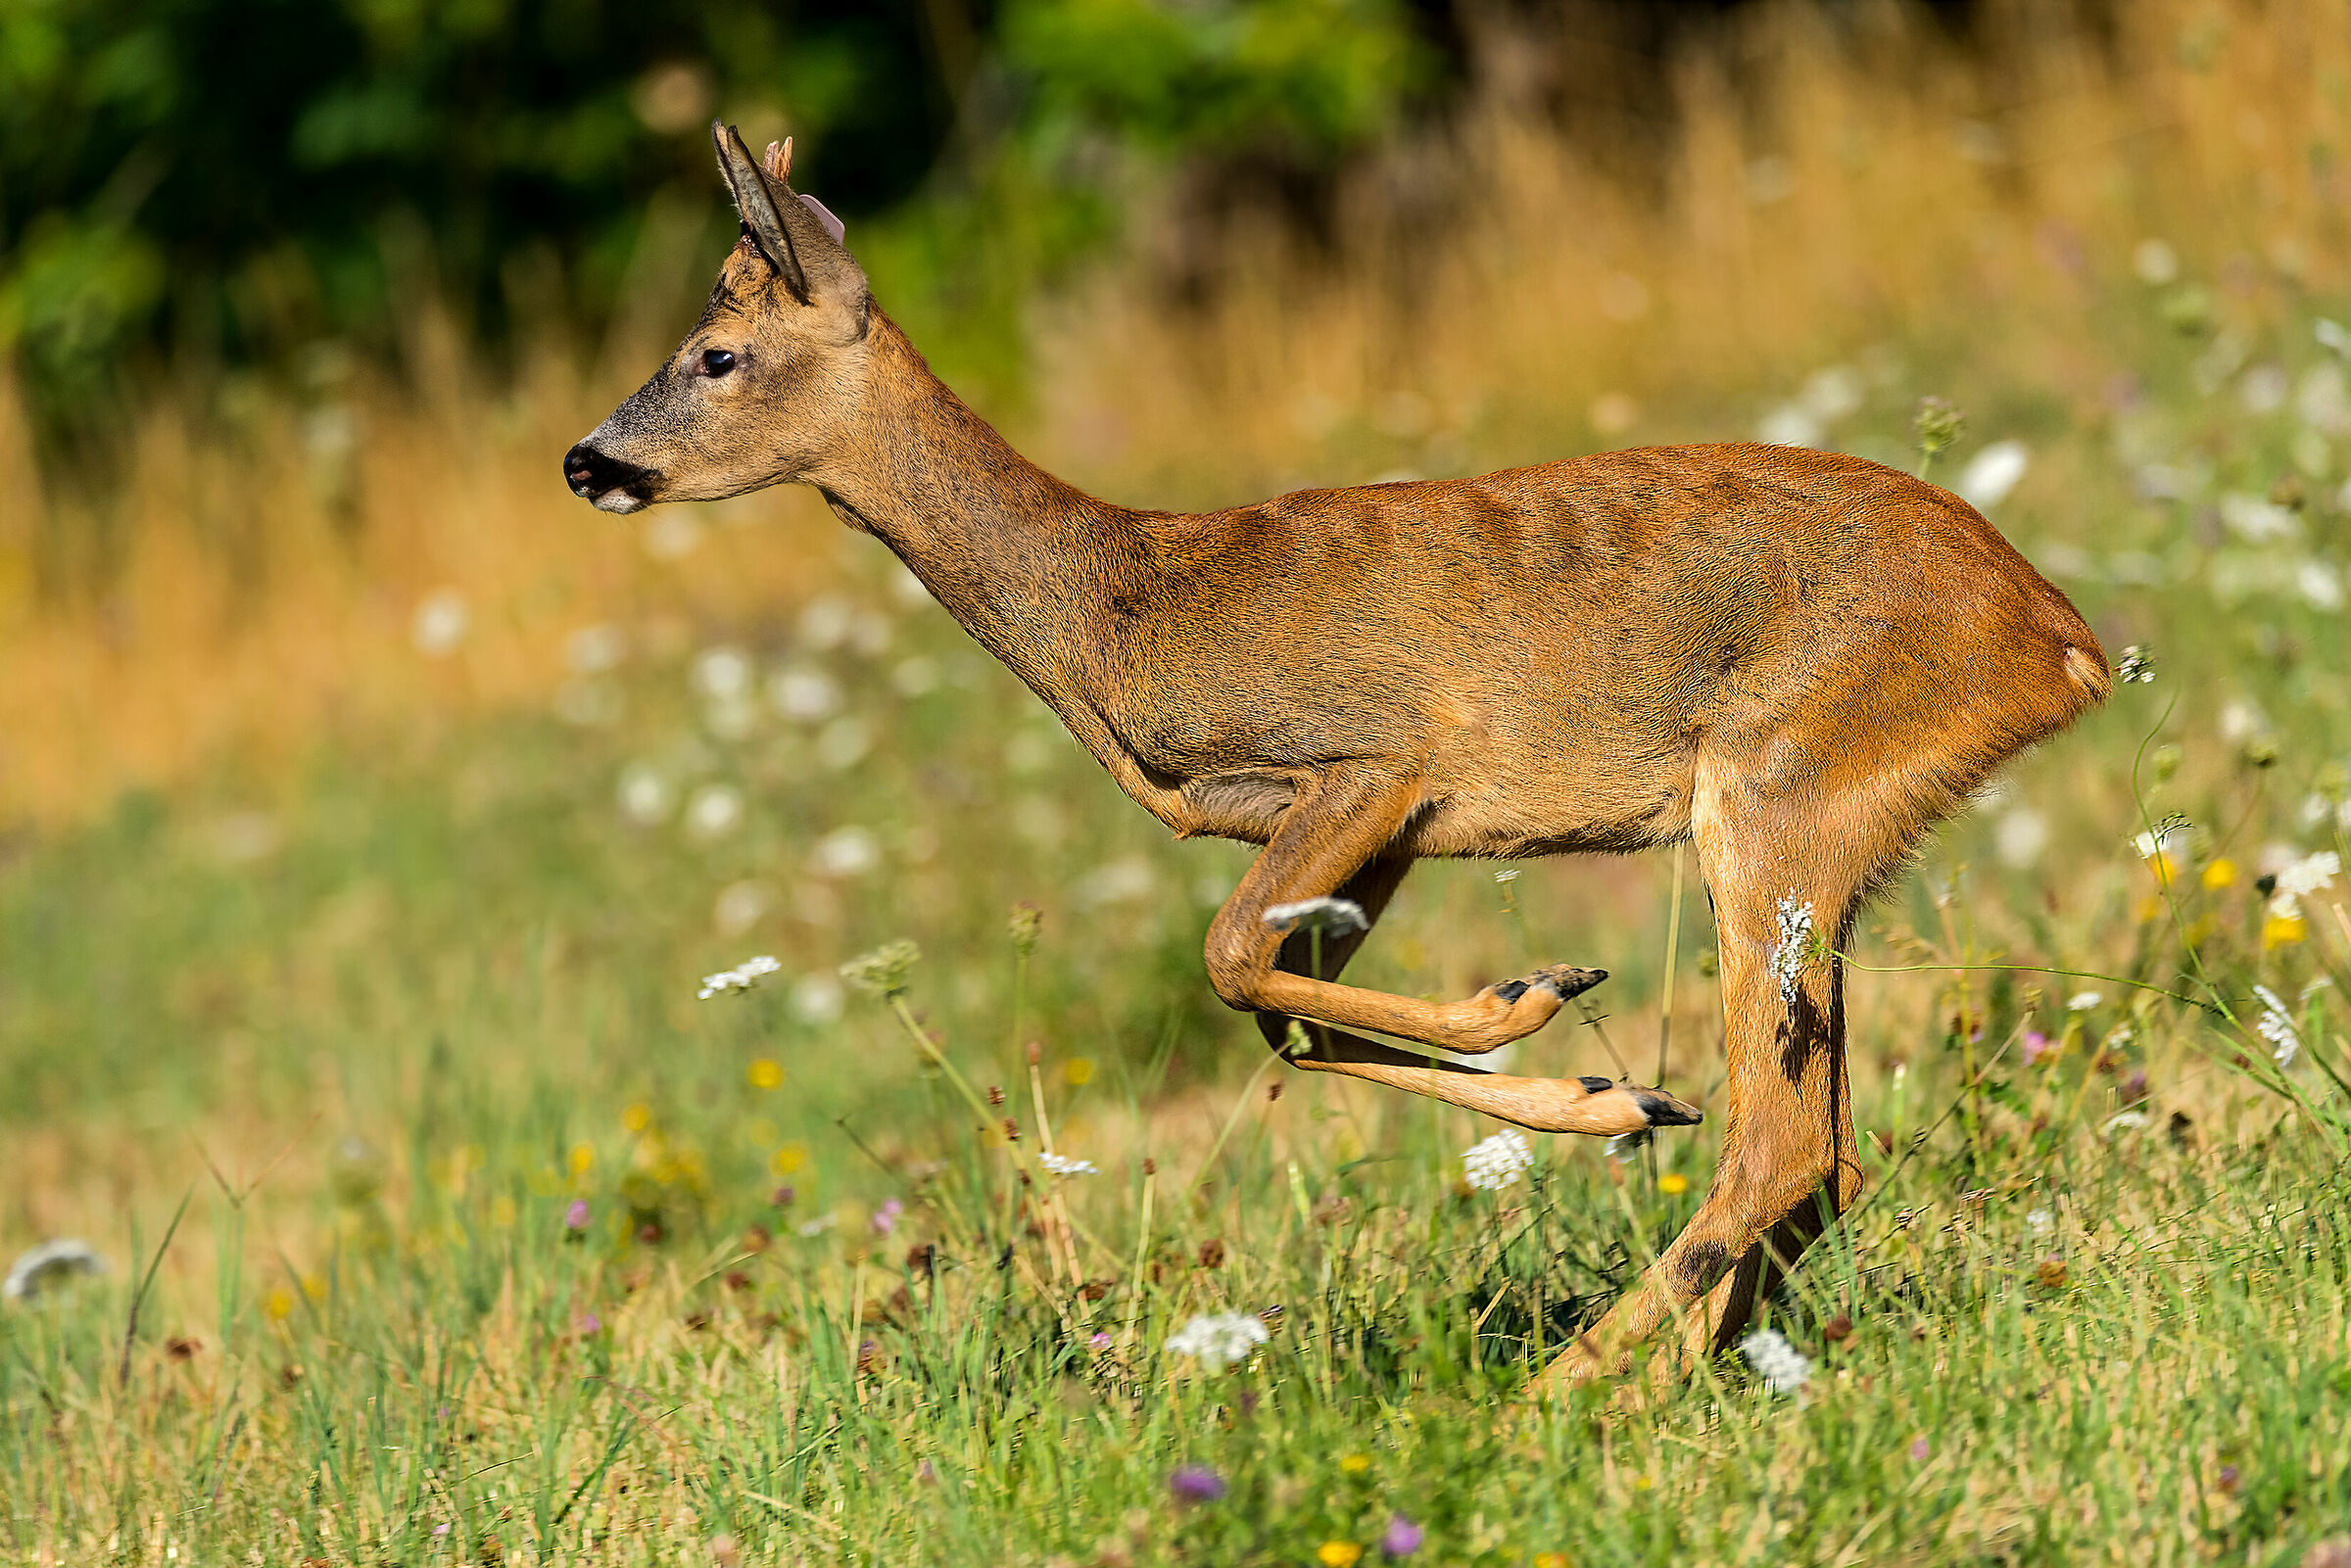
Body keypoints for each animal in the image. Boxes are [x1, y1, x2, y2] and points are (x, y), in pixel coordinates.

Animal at [563, 124, 2110, 1389]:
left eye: (716, 356)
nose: (586, 461)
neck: (1119, 610)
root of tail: (2058, 633)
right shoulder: (1375, 834)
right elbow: (1289, 1013)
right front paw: (1575, 1061)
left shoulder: (1376, 763)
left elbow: (1230, 962)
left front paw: (1560, 1022)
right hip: (1830, 837)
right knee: (1826, 1147)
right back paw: (1690, 1356)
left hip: (1775, 788)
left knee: (1781, 1140)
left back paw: (1562, 1393)